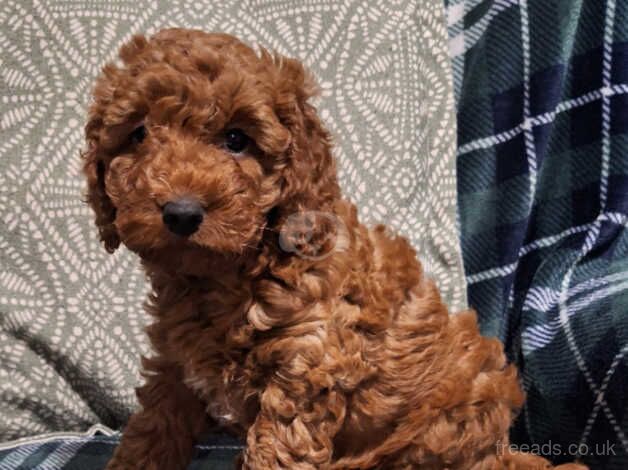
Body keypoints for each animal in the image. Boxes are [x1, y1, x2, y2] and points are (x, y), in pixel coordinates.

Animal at [81, 28, 588, 470]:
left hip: (448, 420)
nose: (182, 213)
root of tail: (502, 450)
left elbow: (276, 451)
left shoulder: (306, 364)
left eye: (236, 140)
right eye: (139, 133)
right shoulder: (175, 365)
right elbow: (152, 428)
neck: (224, 276)